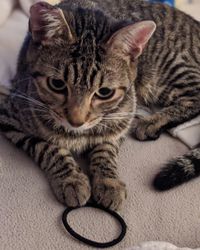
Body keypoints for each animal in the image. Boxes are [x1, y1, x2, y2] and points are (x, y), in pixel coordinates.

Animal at [0, 0, 200, 211]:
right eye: (57, 84)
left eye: (105, 92)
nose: (76, 121)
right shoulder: (10, 116)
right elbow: (47, 148)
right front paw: (72, 179)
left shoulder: (121, 121)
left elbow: (106, 150)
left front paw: (108, 182)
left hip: (168, 72)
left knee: (195, 97)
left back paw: (150, 122)